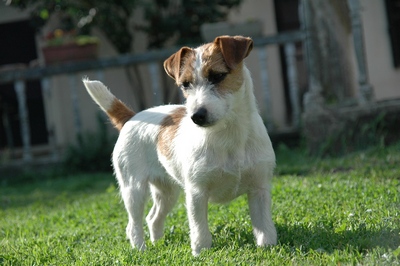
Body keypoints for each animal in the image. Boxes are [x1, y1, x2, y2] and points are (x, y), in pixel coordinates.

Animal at [83, 35, 278, 256]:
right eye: (185, 84)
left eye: (218, 76)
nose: (196, 116)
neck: (229, 136)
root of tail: (132, 117)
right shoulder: (196, 193)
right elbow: (200, 229)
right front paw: (201, 253)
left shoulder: (259, 189)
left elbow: (264, 226)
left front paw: (267, 248)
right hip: (134, 189)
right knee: (133, 224)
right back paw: (141, 250)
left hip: (167, 192)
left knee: (153, 218)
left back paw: (158, 244)